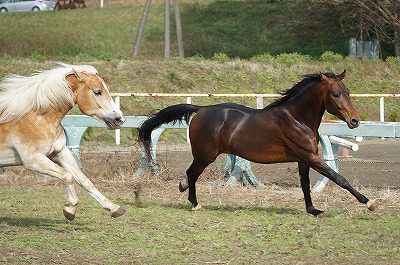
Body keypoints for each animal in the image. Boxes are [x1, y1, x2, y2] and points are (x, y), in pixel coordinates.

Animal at [0, 62, 126, 219]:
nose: (119, 119)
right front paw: (70, 209)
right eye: (97, 92)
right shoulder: (33, 160)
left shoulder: (60, 152)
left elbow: (84, 180)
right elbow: (68, 176)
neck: (37, 118)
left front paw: (114, 208)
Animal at [139, 71, 380, 216]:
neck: (297, 118)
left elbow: (304, 184)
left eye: (348, 92)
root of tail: (200, 109)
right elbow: (339, 179)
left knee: (191, 175)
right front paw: (369, 202)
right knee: (191, 173)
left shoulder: (304, 159)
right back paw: (195, 202)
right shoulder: (311, 157)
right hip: (205, 155)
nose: (355, 121)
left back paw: (184, 190)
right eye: (335, 94)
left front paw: (312, 209)